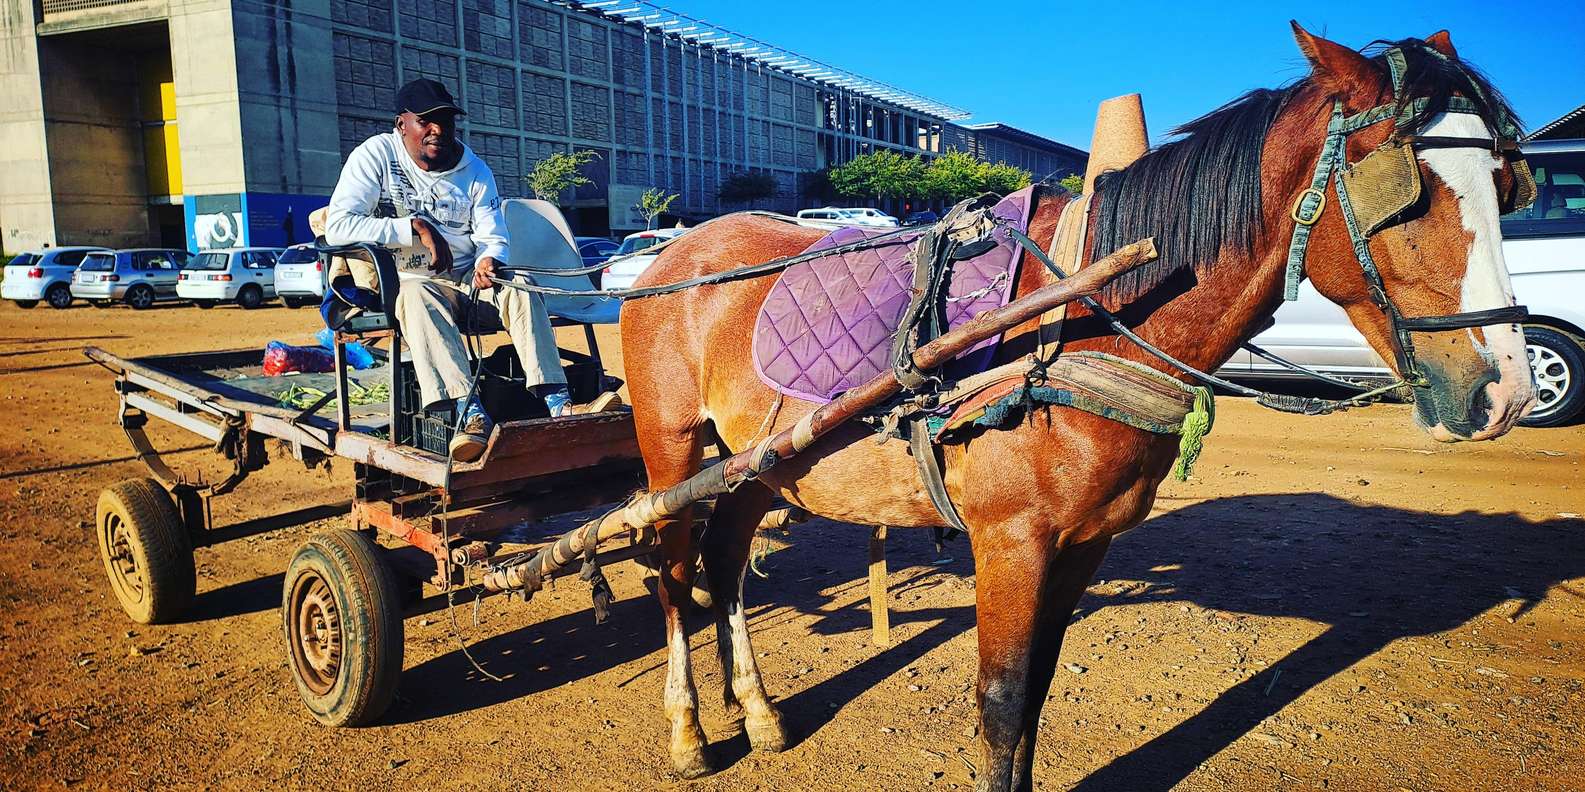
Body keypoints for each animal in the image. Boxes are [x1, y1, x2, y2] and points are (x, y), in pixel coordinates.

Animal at [611, 24, 1527, 792]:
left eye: (1503, 184)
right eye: (1408, 189)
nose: (1505, 390)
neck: (1090, 312)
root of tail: (673, 253)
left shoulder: (1084, 541)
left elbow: (1039, 692)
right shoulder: (1010, 540)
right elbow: (1002, 699)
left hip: (760, 461)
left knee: (726, 558)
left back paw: (758, 713)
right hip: (673, 444)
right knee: (673, 569)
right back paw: (689, 732)